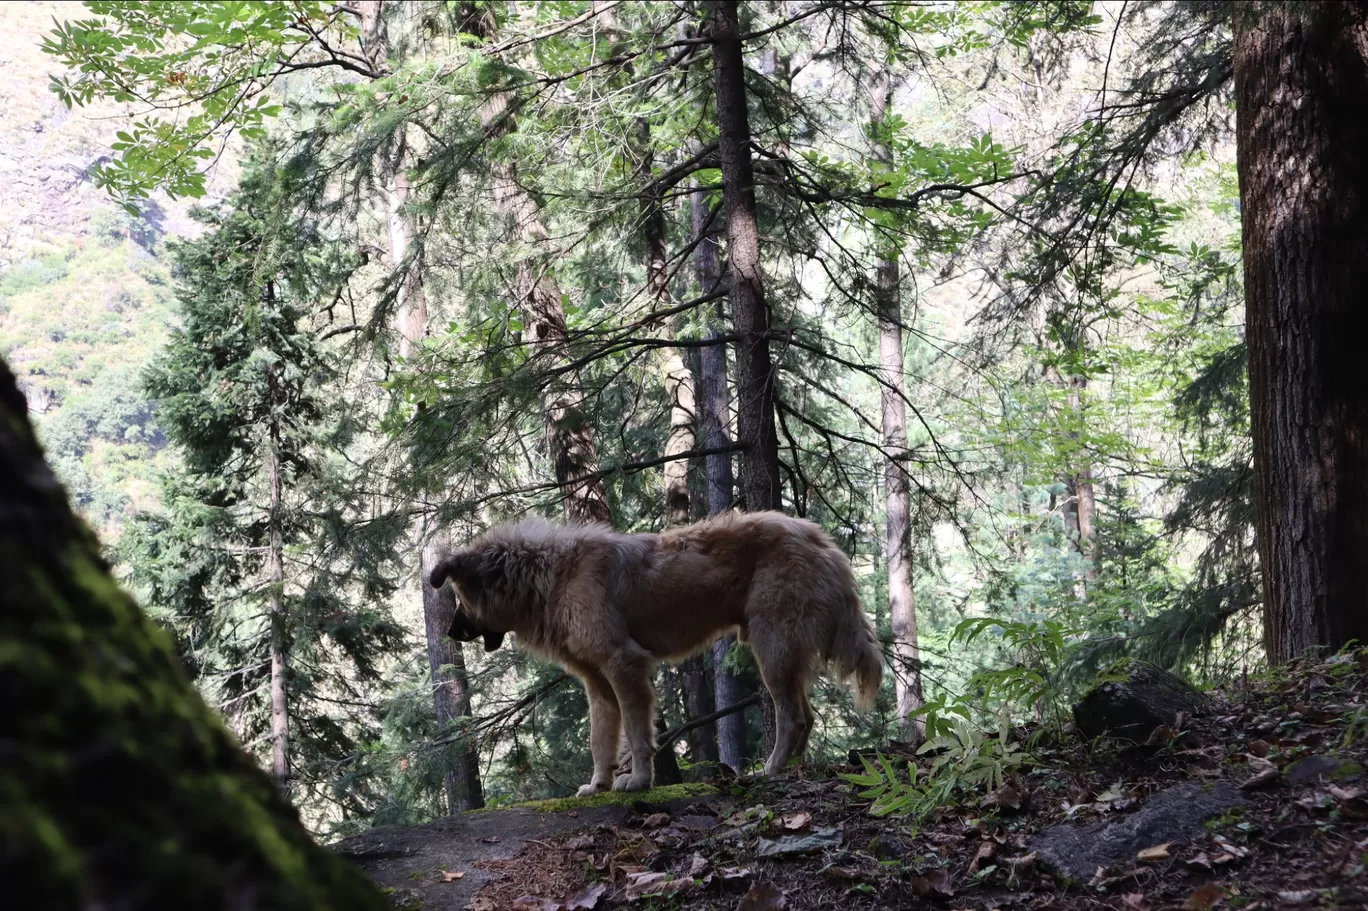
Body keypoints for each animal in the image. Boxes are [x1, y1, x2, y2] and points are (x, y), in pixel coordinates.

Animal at [435, 511, 886, 793]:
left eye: (458, 598)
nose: (449, 631)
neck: (550, 578)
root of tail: (819, 538)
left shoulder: (624, 665)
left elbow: (637, 735)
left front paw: (638, 781)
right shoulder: (597, 683)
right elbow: (601, 739)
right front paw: (598, 784)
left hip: (771, 651)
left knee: (792, 718)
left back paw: (770, 770)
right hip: (783, 655)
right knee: (807, 717)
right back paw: (791, 769)